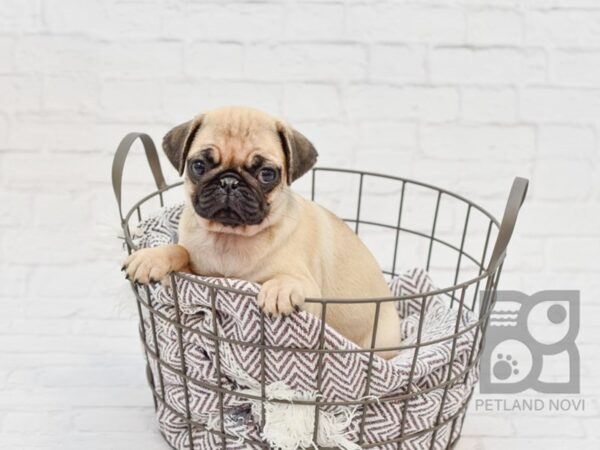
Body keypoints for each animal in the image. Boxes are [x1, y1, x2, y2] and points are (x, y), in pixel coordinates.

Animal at [123, 106, 400, 358]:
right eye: (199, 166)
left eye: (266, 174)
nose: (229, 181)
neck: (230, 238)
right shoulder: (197, 277)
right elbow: (179, 249)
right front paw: (152, 257)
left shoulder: (311, 298)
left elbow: (290, 280)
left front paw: (279, 290)